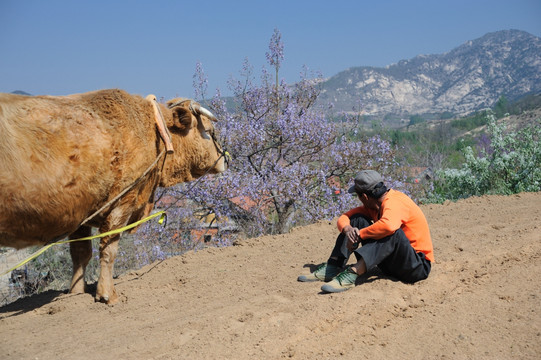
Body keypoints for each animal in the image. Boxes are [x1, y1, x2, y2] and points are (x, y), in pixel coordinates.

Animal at [0, 89, 227, 304]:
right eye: (209, 131)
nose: (224, 158)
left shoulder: (81, 212)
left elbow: (80, 254)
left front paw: (75, 294)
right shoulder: (122, 202)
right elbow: (108, 249)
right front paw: (107, 294)